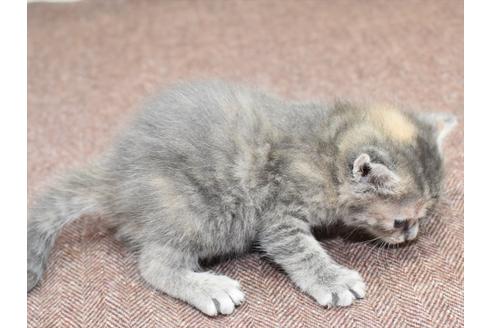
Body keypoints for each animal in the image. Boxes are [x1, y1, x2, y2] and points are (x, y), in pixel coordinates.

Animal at [27, 79, 458, 316]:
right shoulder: (278, 215)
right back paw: (209, 288)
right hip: (201, 213)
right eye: (400, 220)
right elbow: (301, 250)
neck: (326, 144)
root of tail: (114, 178)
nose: (411, 235)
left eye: (424, 216)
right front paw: (332, 279)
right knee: (154, 264)